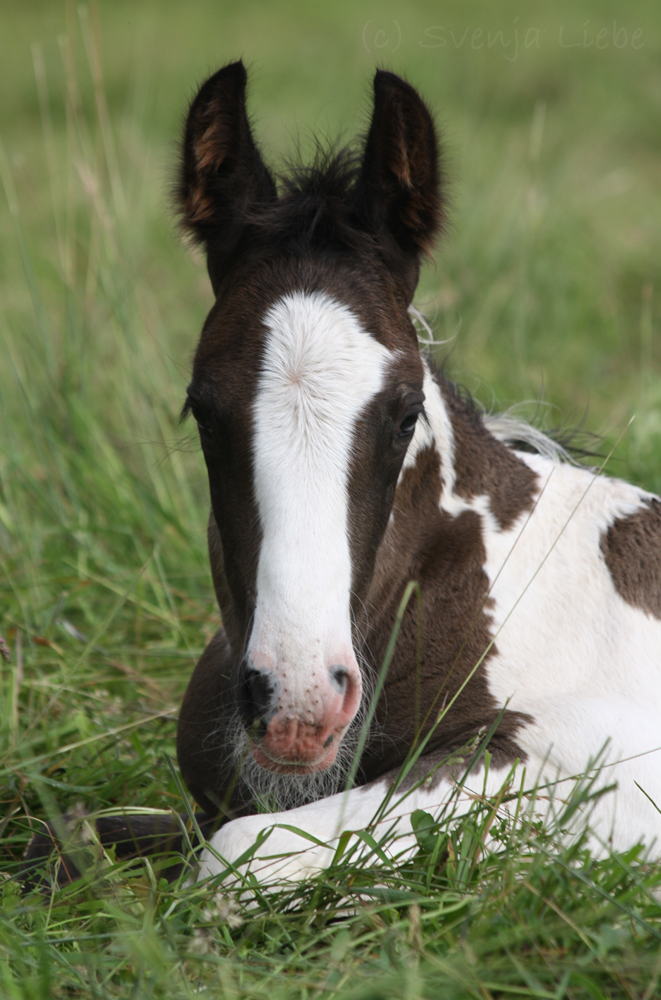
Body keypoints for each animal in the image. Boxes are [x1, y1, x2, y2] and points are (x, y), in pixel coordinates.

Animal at [21, 64, 660, 892]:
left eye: (405, 413)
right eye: (201, 409)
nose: (296, 704)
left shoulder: (592, 777)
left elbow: (235, 854)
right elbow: (56, 837)